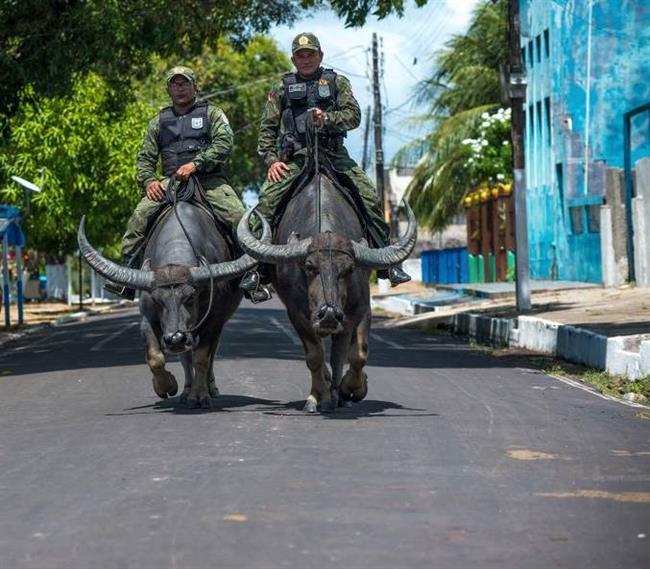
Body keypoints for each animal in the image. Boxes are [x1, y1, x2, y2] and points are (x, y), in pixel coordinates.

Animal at [78, 200, 266, 408]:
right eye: (157, 300)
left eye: (190, 296)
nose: (175, 338)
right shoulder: (148, 319)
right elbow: (155, 357)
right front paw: (167, 387)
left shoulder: (213, 320)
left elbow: (202, 358)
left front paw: (201, 396)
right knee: (185, 358)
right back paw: (186, 391)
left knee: (209, 355)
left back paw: (209, 388)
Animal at [237, 174, 416, 412]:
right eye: (309, 266)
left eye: (349, 269)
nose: (329, 314)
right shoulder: (298, 314)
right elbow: (315, 356)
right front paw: (317, 397)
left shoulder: (359, 309)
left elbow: (355, 354)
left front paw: (350, 390)